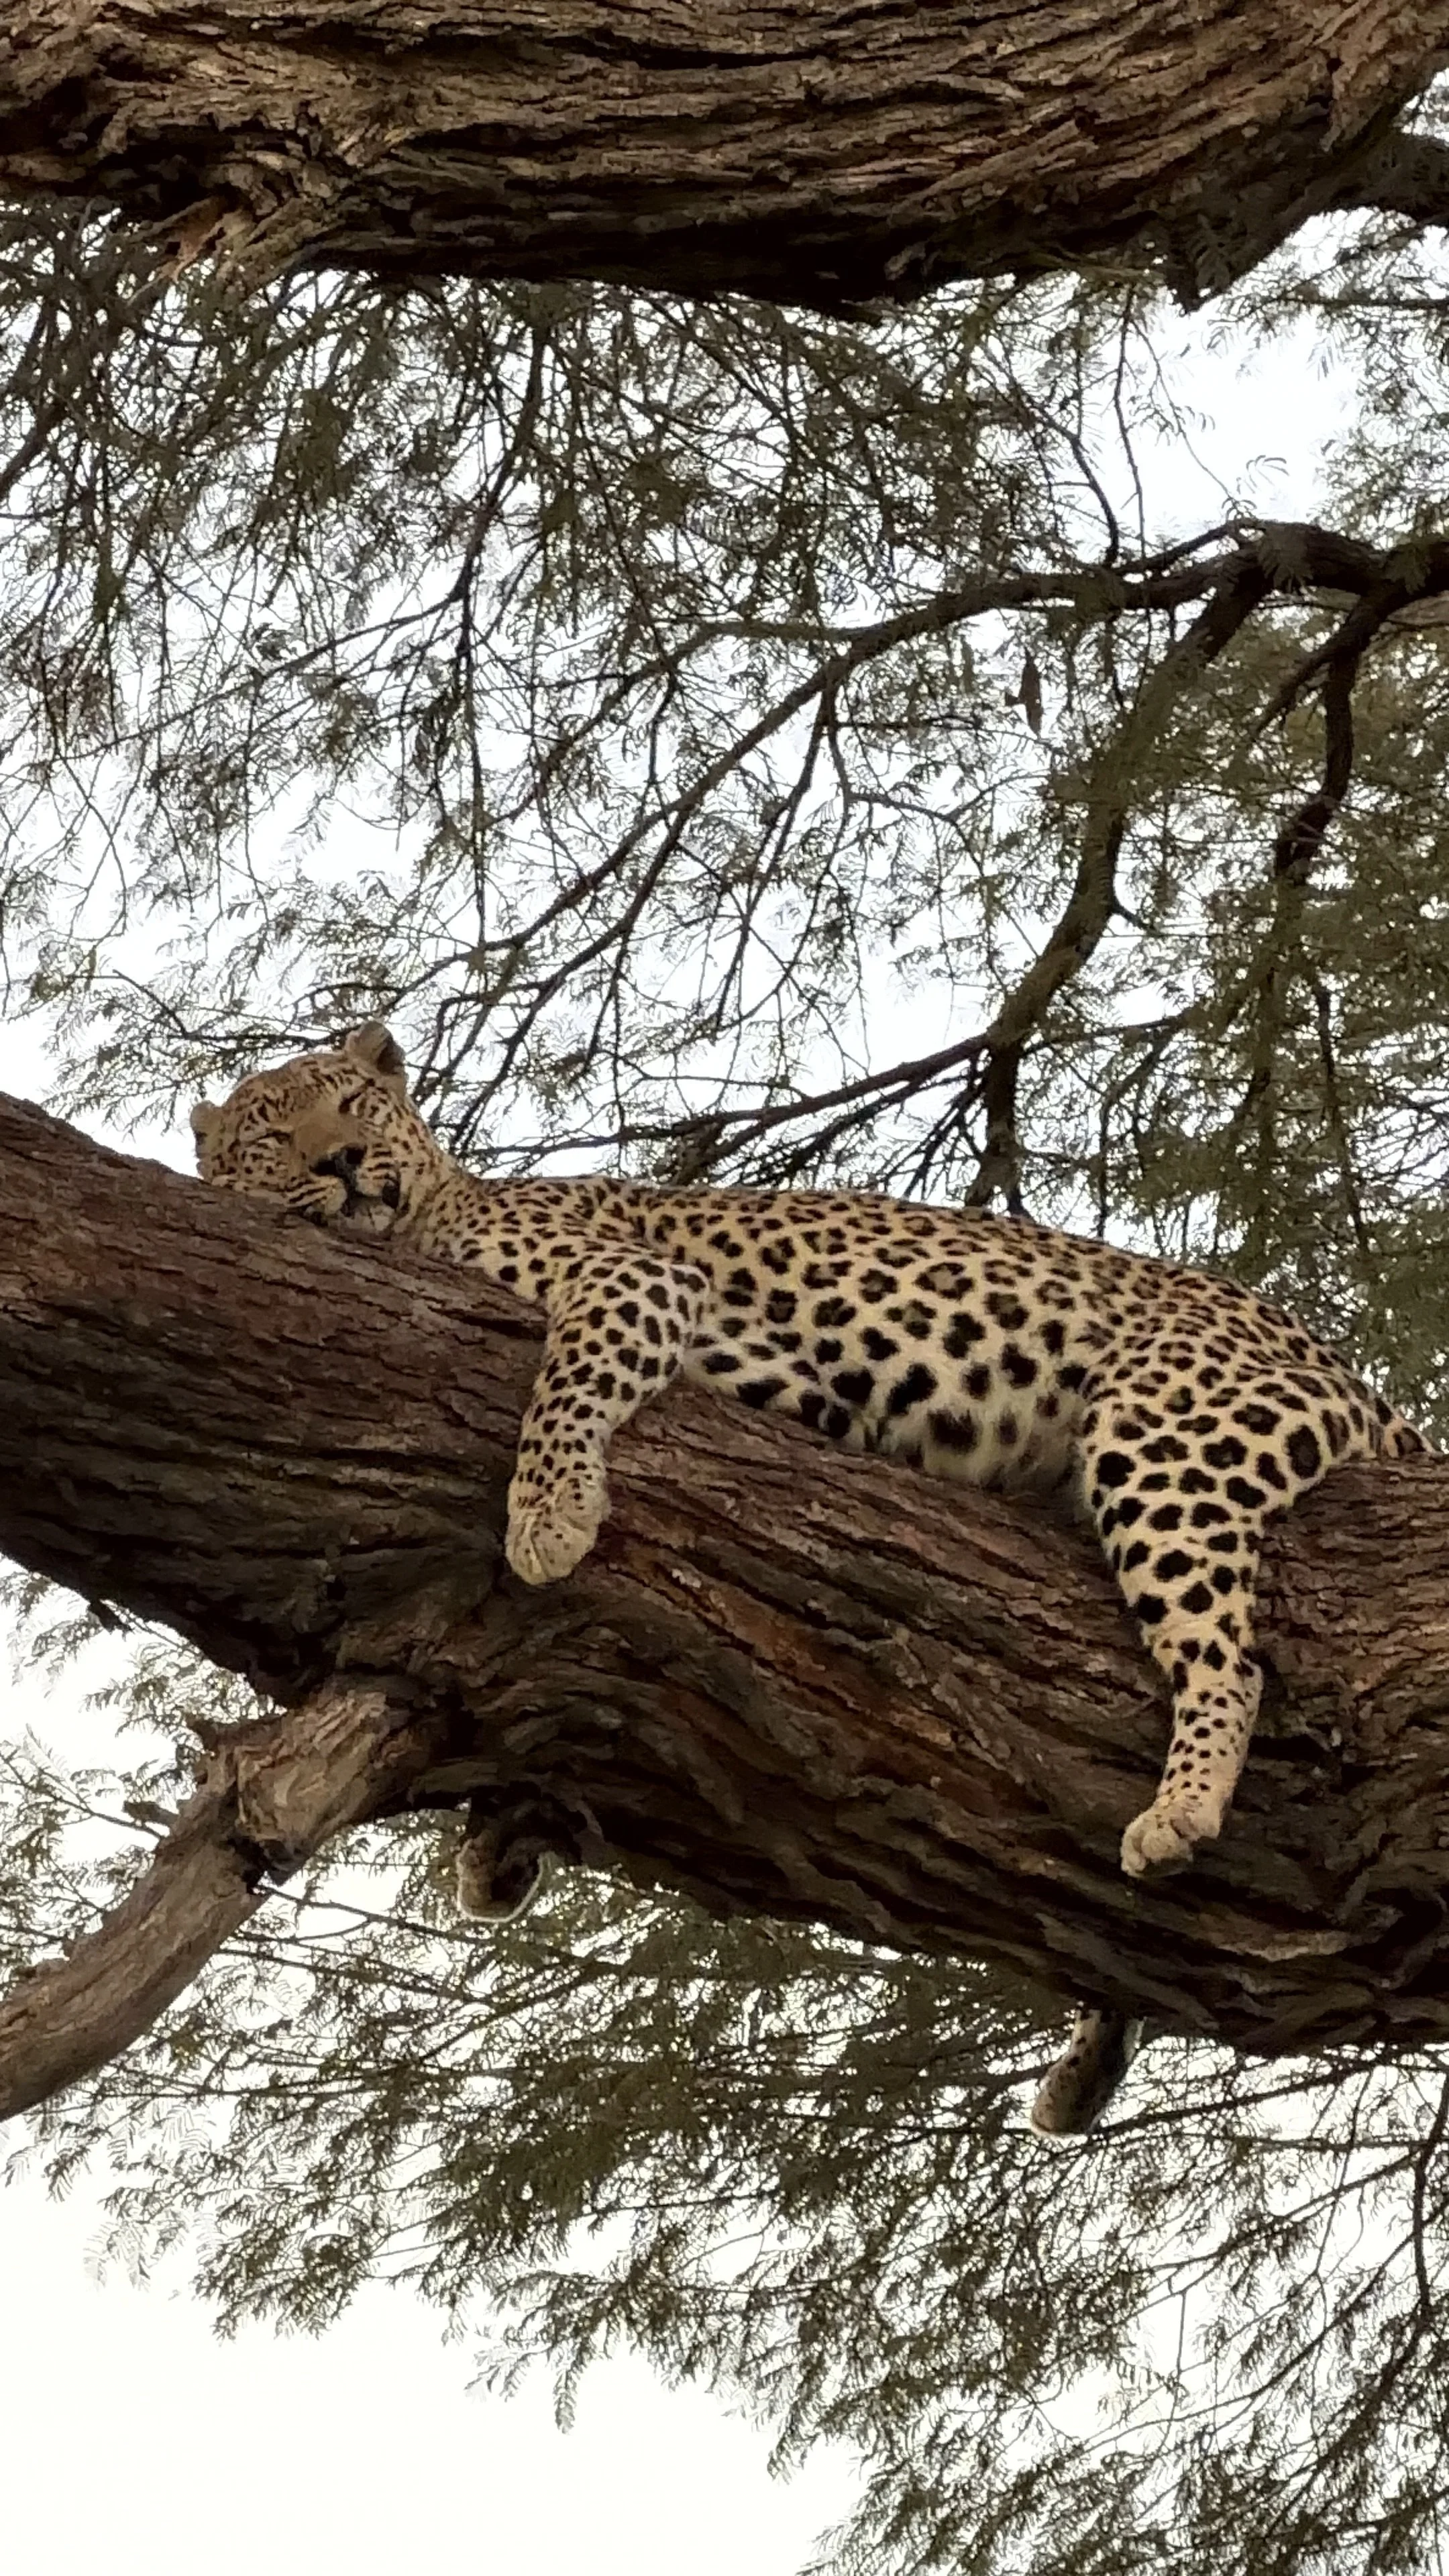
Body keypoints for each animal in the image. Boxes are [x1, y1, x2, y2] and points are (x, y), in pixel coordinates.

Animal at [192, 1023, 1430, 2123]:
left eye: (353, 1106)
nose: (340, 1162)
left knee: (1229, 1658)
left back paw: (1180, 1808)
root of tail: (1349, 1374)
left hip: (1165, 1432)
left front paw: (550, 1515)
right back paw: (1086, 2065)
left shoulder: (640, 1285)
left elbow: (567, 1377)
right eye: (272, 1132)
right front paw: (497, 1847)